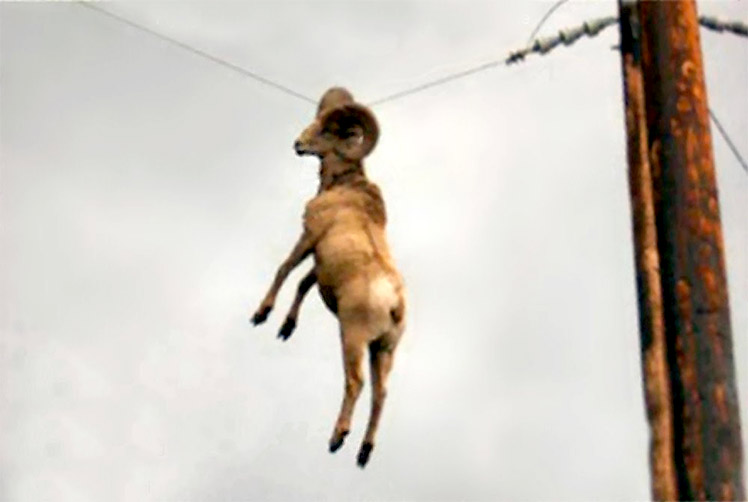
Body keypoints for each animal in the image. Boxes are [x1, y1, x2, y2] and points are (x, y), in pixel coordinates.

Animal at [251, 87, 406, 468]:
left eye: (327, 131)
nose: (298, 144)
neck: (344, 188)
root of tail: (394, 305)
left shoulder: (309, 236)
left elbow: (285, 269)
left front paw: (261, 315)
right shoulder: (321, 262)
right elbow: (304, 282)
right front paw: (285, 328)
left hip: (352, 338)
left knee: (356, 383)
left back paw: (337, 438)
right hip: (384, 351)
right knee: (381, 394)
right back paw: (363, 453)